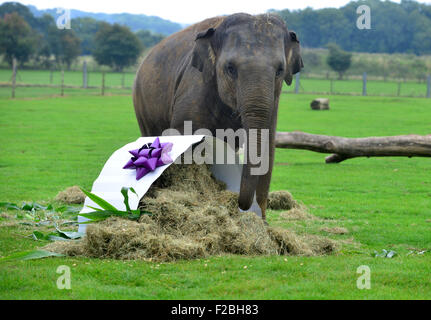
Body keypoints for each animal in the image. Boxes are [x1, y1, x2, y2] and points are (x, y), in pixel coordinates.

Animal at [133, 12, 306, 220]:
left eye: (280, 70)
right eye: (230, 68)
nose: (241, 205)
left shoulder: (274, 105)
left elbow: (267, 152)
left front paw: (261, 224)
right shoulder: (194, 89)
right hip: (142, 105)